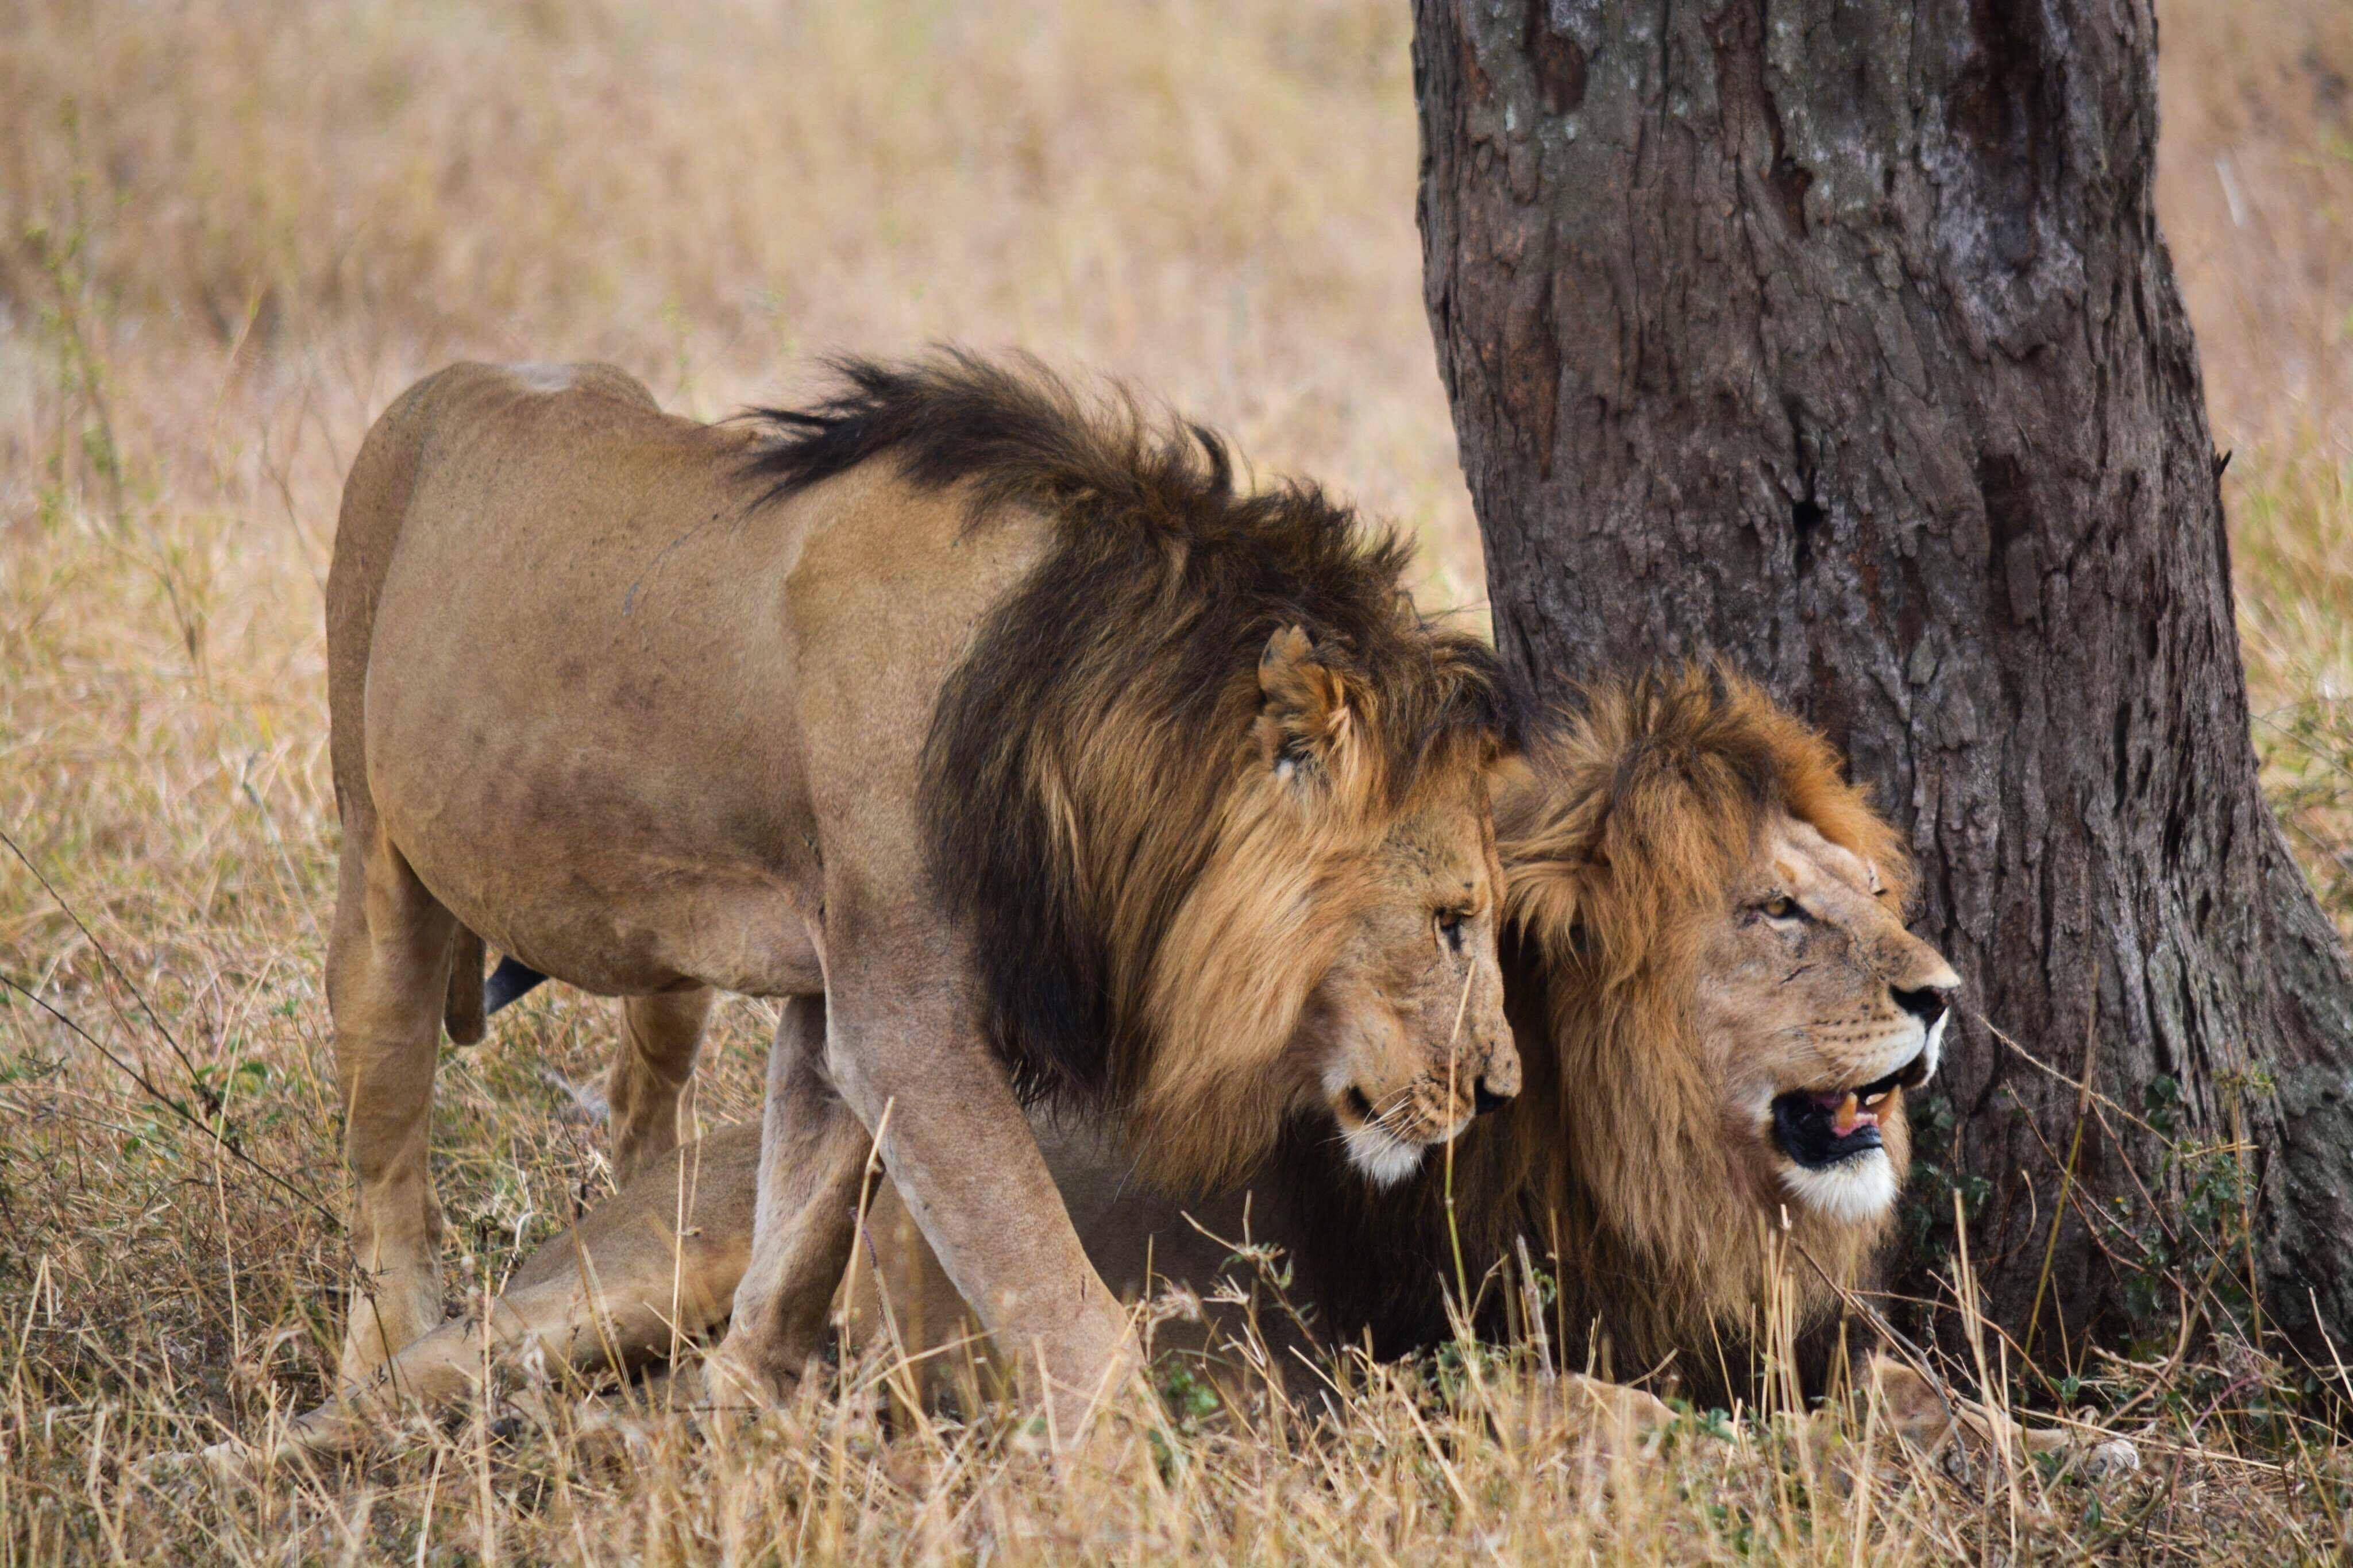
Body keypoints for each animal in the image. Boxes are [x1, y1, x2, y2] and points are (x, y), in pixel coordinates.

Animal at [225, 667, 2136, 1476]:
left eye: (1872, 896)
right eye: (1772, 911)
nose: (1944, 993)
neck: (1657, 1164)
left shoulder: (1755, 1317)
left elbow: (1908, 1385)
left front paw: (2067, 1454)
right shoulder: (1348, 1384)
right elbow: (1593, 1408)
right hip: (630, 1269)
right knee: (416, 1375)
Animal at [313, 350, 1515, 1457]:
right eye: (1451, 919)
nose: (1499, 1092)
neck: (1078, 719)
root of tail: (453, 376)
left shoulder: (831, 1000)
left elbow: (798, 1232)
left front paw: (735, 1429)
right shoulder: (906, 1021)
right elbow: (1059, 1299)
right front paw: (1133, 1487)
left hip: (663, 977)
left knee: (640, 1094)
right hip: (376, 860)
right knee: (387, 1165)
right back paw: (352, 1396)